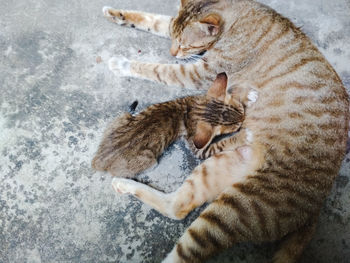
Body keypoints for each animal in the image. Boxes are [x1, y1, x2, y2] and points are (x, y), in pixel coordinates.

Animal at [92, 73, 258, 178]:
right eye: (236, 126)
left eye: (241, 110)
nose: (243, 117)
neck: (192, 110)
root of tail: (99, 160)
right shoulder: (198, 148)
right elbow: (223, 143)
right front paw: (243, 136)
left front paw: (246, 95)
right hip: (149, 159)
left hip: (122, 117)